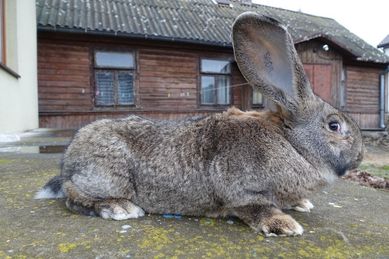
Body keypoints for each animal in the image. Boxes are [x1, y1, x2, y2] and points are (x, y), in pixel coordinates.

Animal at [34, 13, 362, 239]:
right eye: (334, 126)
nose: (360, 156)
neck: (293, 145)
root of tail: (69, 159)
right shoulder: (239, 189)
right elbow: (255, 207)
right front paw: (284, 225)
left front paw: (302, 204)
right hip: (107, 176)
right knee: (73, 195)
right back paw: (118, 208)